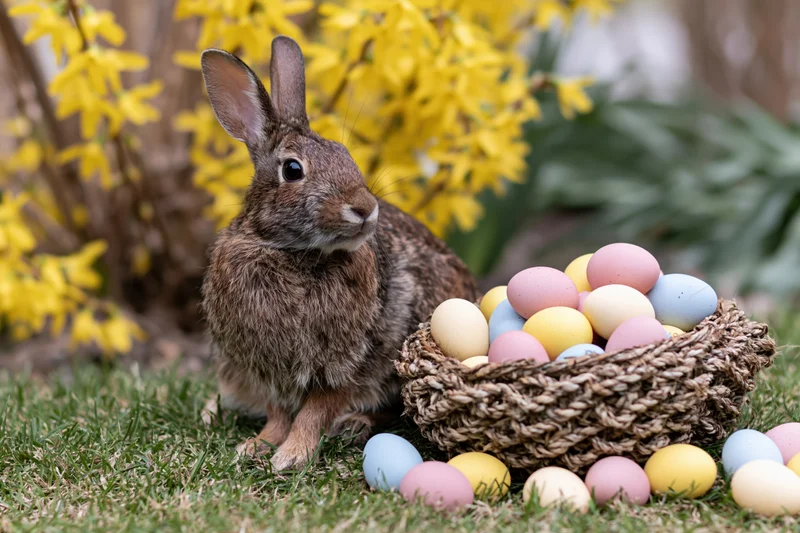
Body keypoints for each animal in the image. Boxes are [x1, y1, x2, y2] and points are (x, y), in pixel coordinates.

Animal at [199, 35, 479, 471]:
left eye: (346, 155)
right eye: (292, 169)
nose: (364, 208)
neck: (294, 252)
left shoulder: (348, 362)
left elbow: (316, 409)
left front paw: (291, 456)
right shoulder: (264, 366)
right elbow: (278, 412)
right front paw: (258, 446)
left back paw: (354, 424)